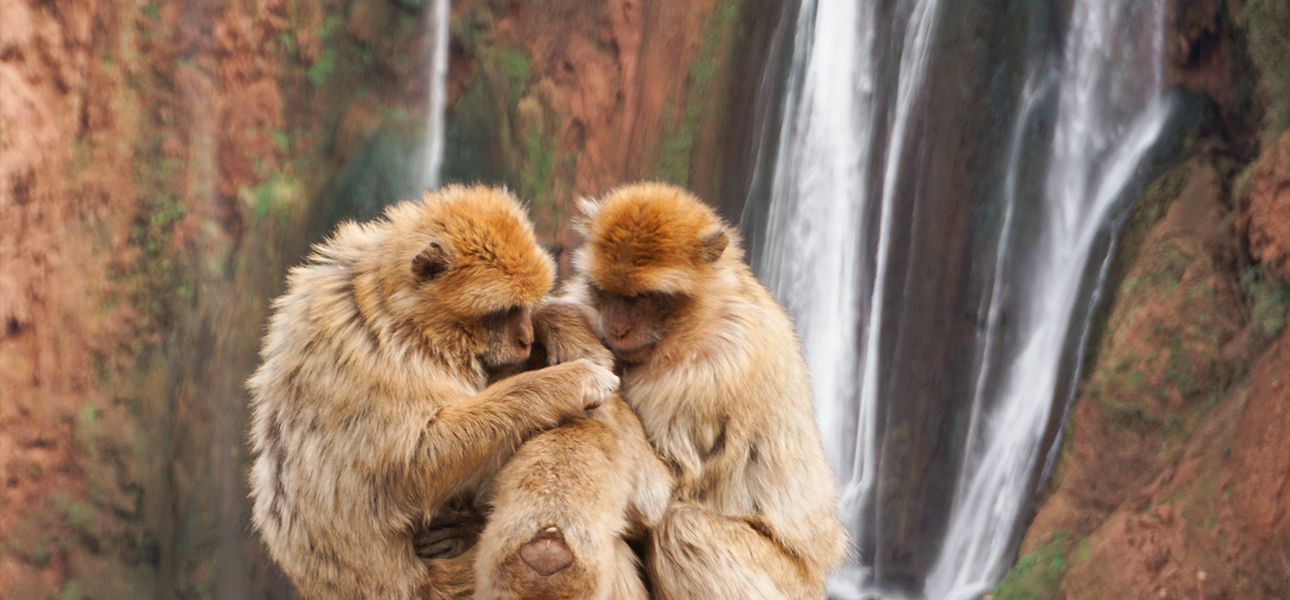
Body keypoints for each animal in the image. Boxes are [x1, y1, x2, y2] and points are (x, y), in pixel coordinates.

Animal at [248, 184, 621, 596]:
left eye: (523, 306)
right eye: (501, 312)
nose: (524, 339)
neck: (402, 318)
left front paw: (555, 321)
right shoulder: (374, 362)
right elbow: (411, 467)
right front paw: (569, 381)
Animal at [559, 181, 851, 598]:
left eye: (641, 298)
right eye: (608, 292)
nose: (617, 329)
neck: (691, 324)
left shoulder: (714, 371)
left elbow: (660, 491)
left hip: (787, 582)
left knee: (681, 527)